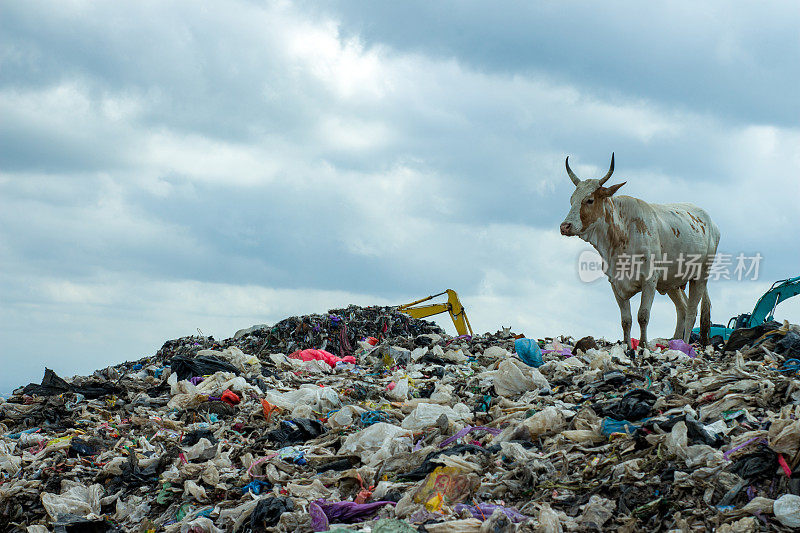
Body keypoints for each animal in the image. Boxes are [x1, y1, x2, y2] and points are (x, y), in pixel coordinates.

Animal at [560, 153, 720, 350]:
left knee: (691, 311)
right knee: (682, 308)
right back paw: (675, 342)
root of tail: (711, 223)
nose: (565, 226)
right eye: (571, 200)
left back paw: (685, 343)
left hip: (700, 276)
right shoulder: (615, 283)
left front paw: (643, 345)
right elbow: (626, 320)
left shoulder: (649, 281)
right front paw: (628, 347)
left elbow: (643, 316)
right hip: (673, 282)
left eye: (589, 200)